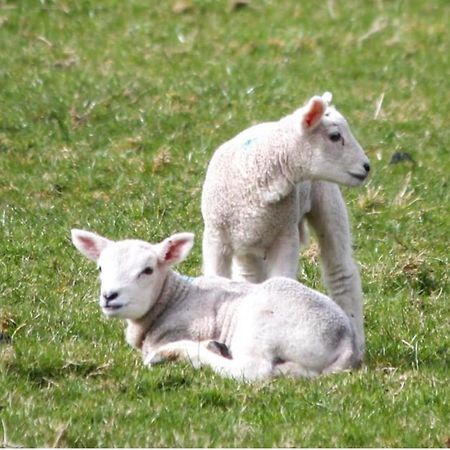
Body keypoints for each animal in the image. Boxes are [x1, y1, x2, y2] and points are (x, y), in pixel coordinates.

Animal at [70, 229, 360, 380]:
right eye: (100, 268)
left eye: (147, 270)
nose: (110, 296)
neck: (172, 298)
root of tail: (345, 340)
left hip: (260, 325)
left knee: (252, 371)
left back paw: (181, 352)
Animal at [202, 90, 370, 358]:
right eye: (335, 136)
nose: (367, 167)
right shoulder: (216, 237)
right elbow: (217, 280)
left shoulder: (285, 236)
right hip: (247, 241)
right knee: (248, 277)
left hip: (326, 200)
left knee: (340, 271)